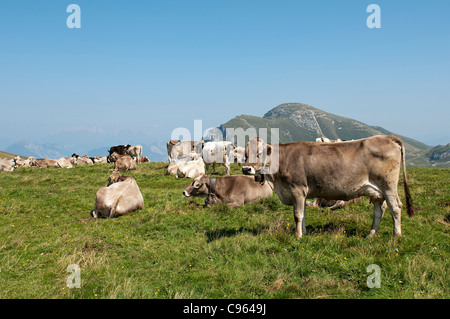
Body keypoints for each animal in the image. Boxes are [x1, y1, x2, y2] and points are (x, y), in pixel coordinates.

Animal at [243, 136, 414, 239]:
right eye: (245, 154)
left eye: (259, 153)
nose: (246, 169)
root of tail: (386, 137)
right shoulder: (302, 193)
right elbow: (304, 214)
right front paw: (304, 232)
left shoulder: (297, 189)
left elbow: (297, 215)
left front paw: (298, 235)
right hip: (376, 192)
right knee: (380, 210)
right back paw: (371, 234)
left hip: (388, 186)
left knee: (395, 207)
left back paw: (396, 234)